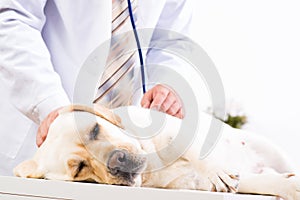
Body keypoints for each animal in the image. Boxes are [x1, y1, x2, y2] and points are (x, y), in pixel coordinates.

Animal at [14, 104, 300, 200]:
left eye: (95, 130)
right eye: (80, 169)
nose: (116, 162)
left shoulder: (180, 130)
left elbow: (194, 149)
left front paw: (215, 170)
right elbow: (256, 182)